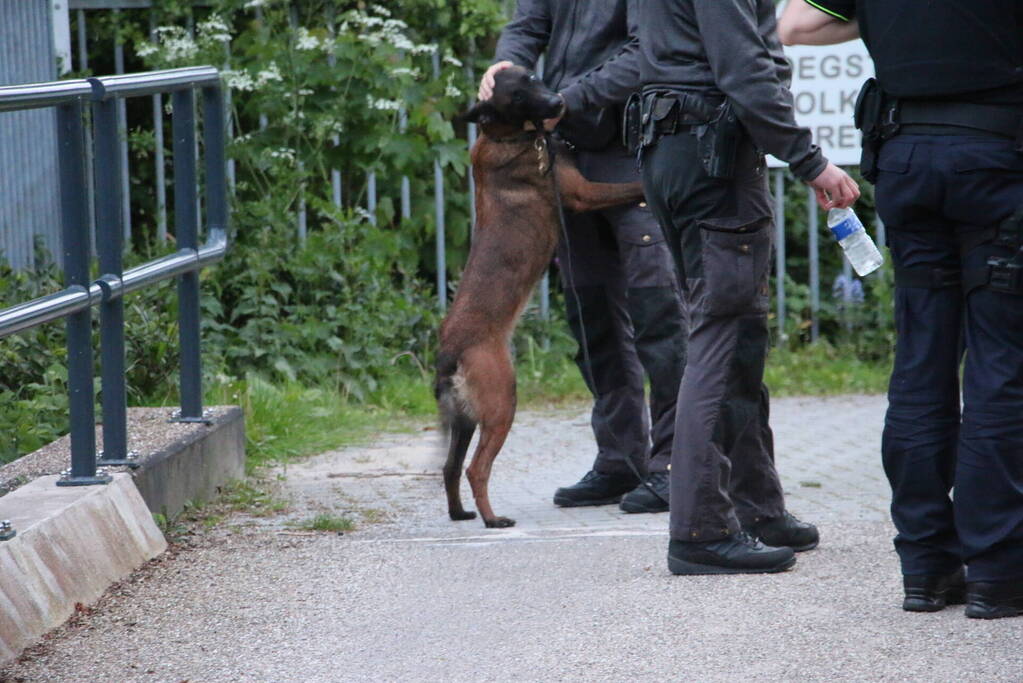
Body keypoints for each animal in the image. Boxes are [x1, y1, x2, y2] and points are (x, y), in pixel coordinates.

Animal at [433, 67, 642, 527]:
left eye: (534, 77)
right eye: (516, 96)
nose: (558, 103)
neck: (507, 136)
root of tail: (449, 349)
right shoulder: (582, 193)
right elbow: (633, 185)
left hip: (465, 419)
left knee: (450, 466)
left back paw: (460, 513)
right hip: (502, 403)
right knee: (476, 469)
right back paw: (494, 519)